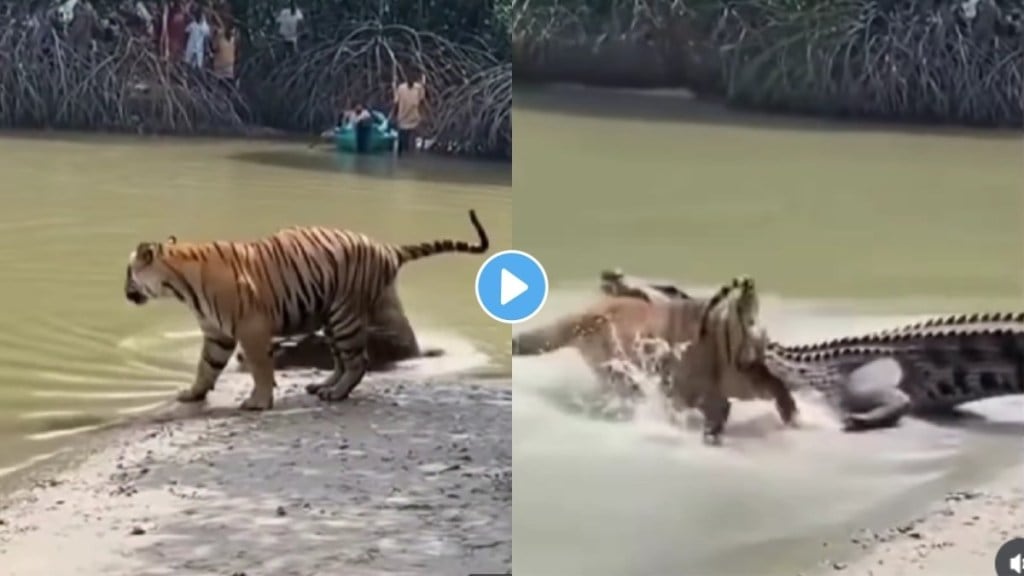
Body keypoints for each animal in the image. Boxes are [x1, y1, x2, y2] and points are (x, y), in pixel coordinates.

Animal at [124, 209, 489, 412]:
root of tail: (388, 248)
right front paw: (192, 393)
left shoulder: (251, 328)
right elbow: (206, 368)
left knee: (358, 361)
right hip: (335, 318)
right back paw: (323, 386)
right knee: (343, 360)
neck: (179, 283)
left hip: (345, 315)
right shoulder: (217, 334)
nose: (125, 292)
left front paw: (258, 402)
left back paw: (335, 394)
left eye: (129, 272)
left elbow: (260, 368)